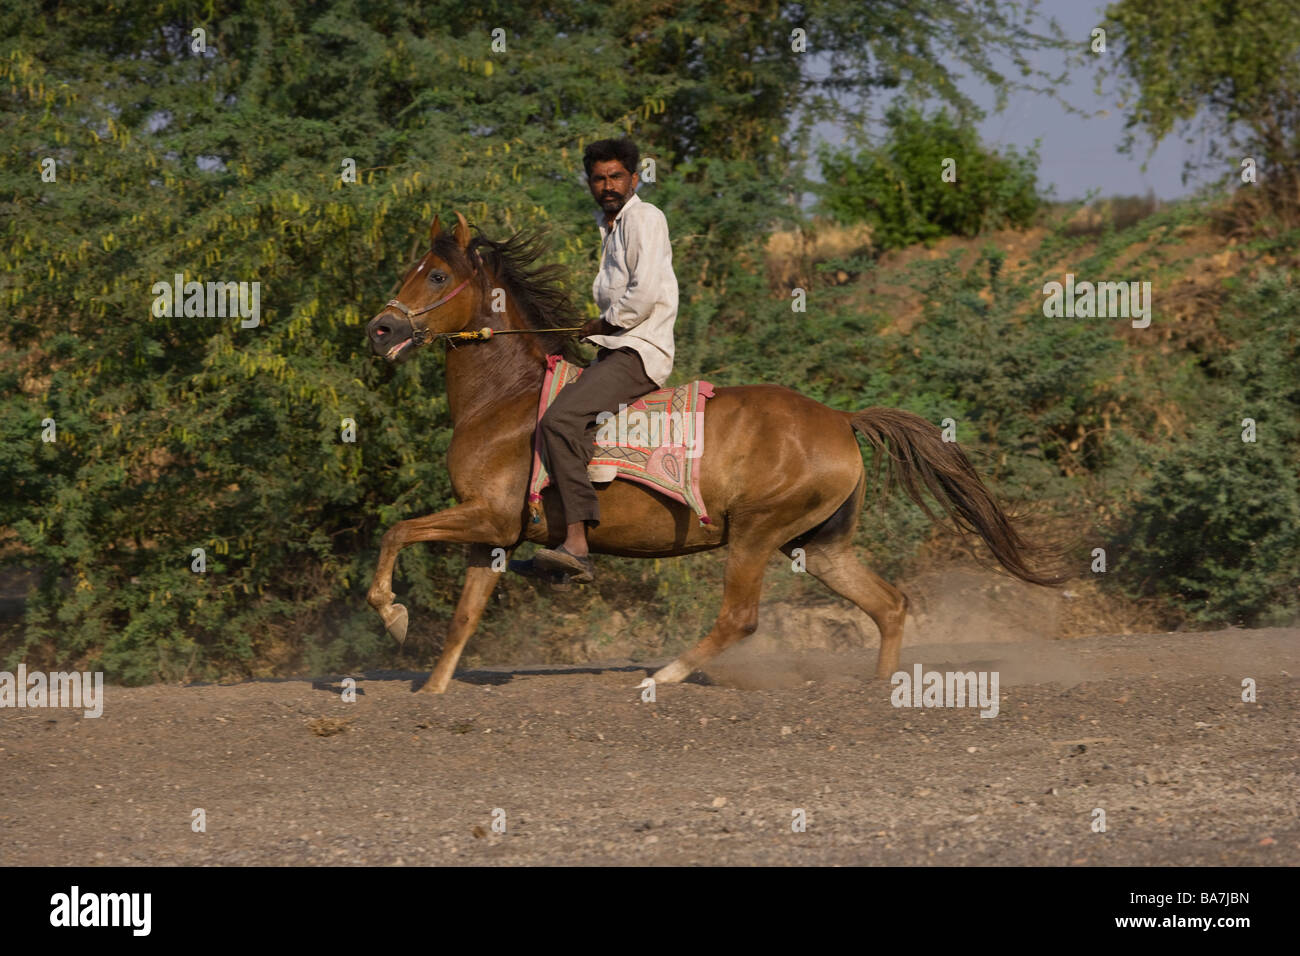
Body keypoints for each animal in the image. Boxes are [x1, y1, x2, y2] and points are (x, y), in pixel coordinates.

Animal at [364, 213, 1055, 697]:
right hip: (819, 544)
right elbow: (463, 616)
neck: (503, 401)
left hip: (755, 532)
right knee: (888, 604)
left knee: (740, 618)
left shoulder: (489, 516)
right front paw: (431, 689)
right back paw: (880, 687)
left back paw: (663, 677)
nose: (380, 329)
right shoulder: (489, 532)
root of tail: (841, 418)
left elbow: (397, 531)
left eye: (435, 274)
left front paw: (392, 615)